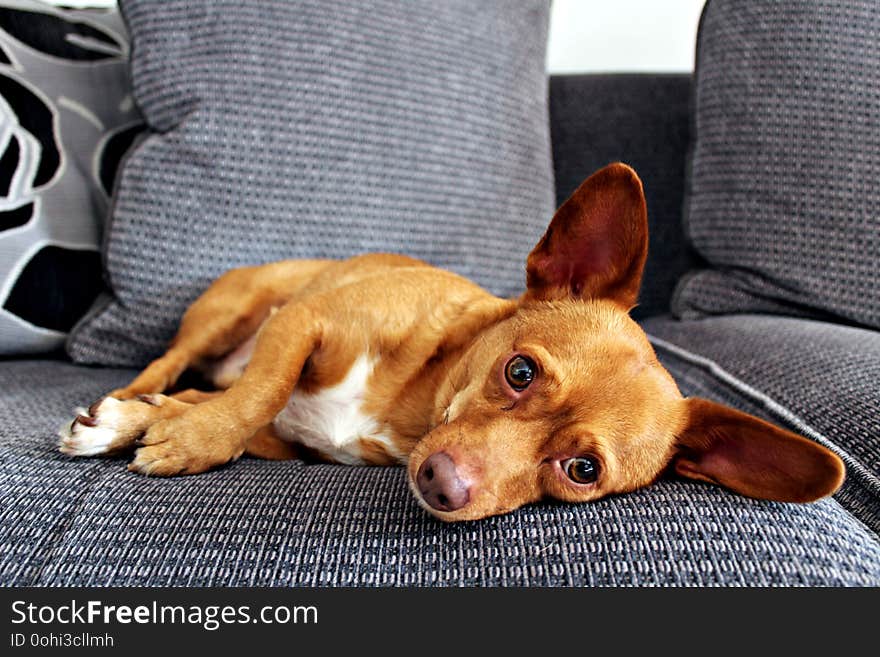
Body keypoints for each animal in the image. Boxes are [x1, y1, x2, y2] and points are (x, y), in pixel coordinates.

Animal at [58, 163, 844, 516]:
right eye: (519, 372)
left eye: (581, 470)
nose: (443, 484)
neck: (412, 406)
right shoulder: (302, 324)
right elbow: (260, 390)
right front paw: (185, 439)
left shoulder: (288, 437)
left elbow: (236, 409)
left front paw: (169, 430)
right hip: (234, 307)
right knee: (169, 365)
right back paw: (128, 400)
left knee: (195, 385)